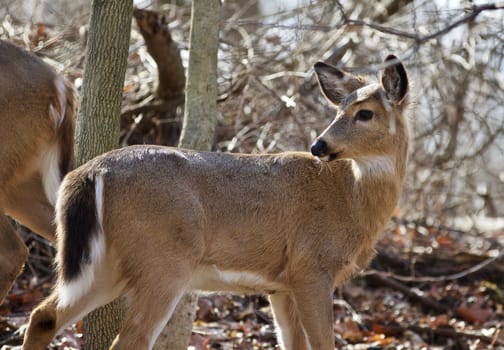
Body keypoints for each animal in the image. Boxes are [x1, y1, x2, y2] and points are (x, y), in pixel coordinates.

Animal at [22, 54, 410, 350]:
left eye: (365, 113)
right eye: (339, 111)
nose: (319, 145)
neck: (350, 199)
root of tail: (90, 171)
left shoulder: (280, 284)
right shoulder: (312, 267)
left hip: (108, 264)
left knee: (43, 315)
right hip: (164, 260)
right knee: (128, 340)